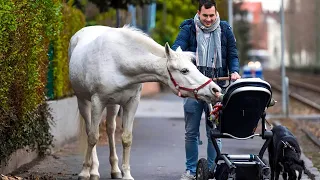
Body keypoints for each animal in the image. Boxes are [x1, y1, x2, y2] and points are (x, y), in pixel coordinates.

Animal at [68, 25, 221, 180]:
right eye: (184, 70)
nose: (215, 89)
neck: (118, 62)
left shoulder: (131, 103)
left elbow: (126, 138)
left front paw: (126, 174)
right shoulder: (97, 102)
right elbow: (93, 137)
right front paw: (85, 172)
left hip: (113, 105)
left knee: (110, 129)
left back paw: (115, 170)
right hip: (83, 101)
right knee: (90, 131)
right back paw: (93, 170)